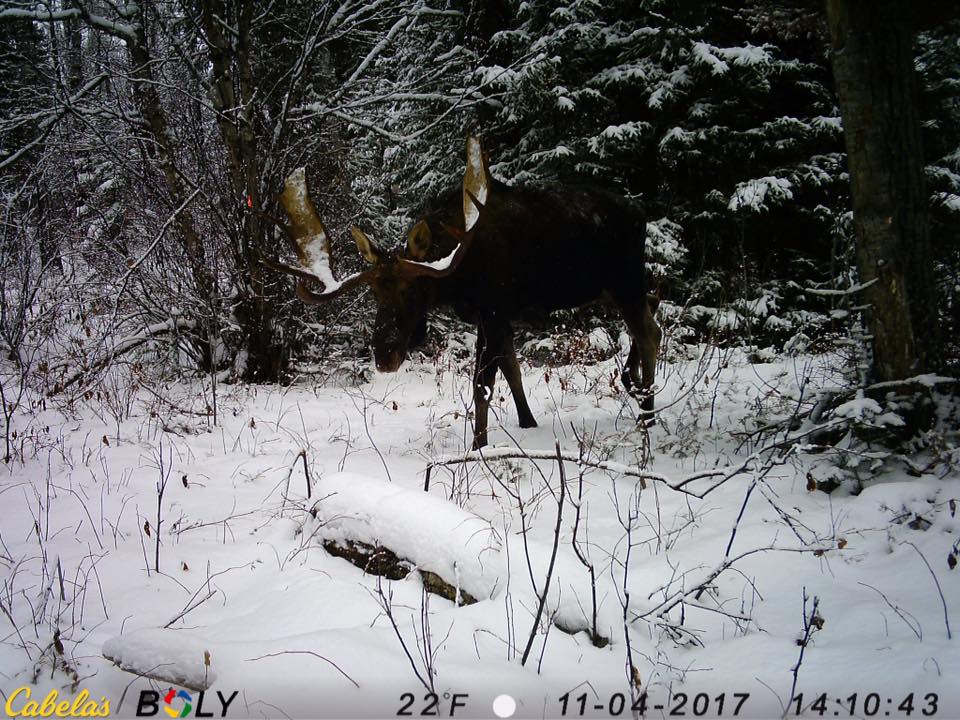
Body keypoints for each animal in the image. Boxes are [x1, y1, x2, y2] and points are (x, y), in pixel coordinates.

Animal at [267, 137, 661, 449]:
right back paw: (638, 391)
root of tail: (641, 210)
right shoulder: (490, 315)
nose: (384, 355)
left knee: (648, 332)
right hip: (610, 289)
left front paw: (478, 445)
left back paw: (647, 412)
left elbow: (481, 384)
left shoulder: (493, 310)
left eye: (413, 288)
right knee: (652, 319)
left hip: (626, 281)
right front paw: (527, 423)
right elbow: (512, 370)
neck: (458, 275)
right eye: (375, 292)